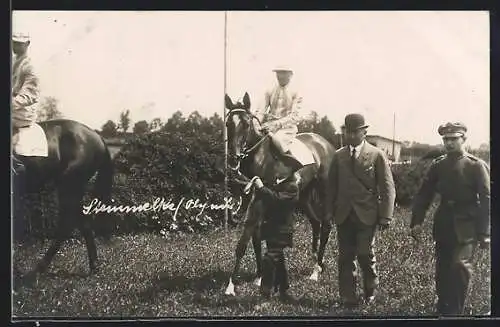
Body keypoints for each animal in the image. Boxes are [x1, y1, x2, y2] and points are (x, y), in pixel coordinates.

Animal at [11, 119, 114, 286]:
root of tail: (97, 137)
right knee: (83, 224)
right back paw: (94, 266)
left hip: (69, 186)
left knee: (67, 225)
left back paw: (37, 271)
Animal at [224, 93, 336, 298]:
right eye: (228, 123)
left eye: (246, 124)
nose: (234, 158)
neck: (259, 156)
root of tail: (325, 143)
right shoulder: (254, 199)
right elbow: (255, 238)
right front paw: (259, 276)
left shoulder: (260, 199)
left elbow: (244, 241)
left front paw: (231, 286)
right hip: (303, 196)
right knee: (315, 223)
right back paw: (316, 263)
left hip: (324, 192)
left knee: (325, 225)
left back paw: (316, 271)